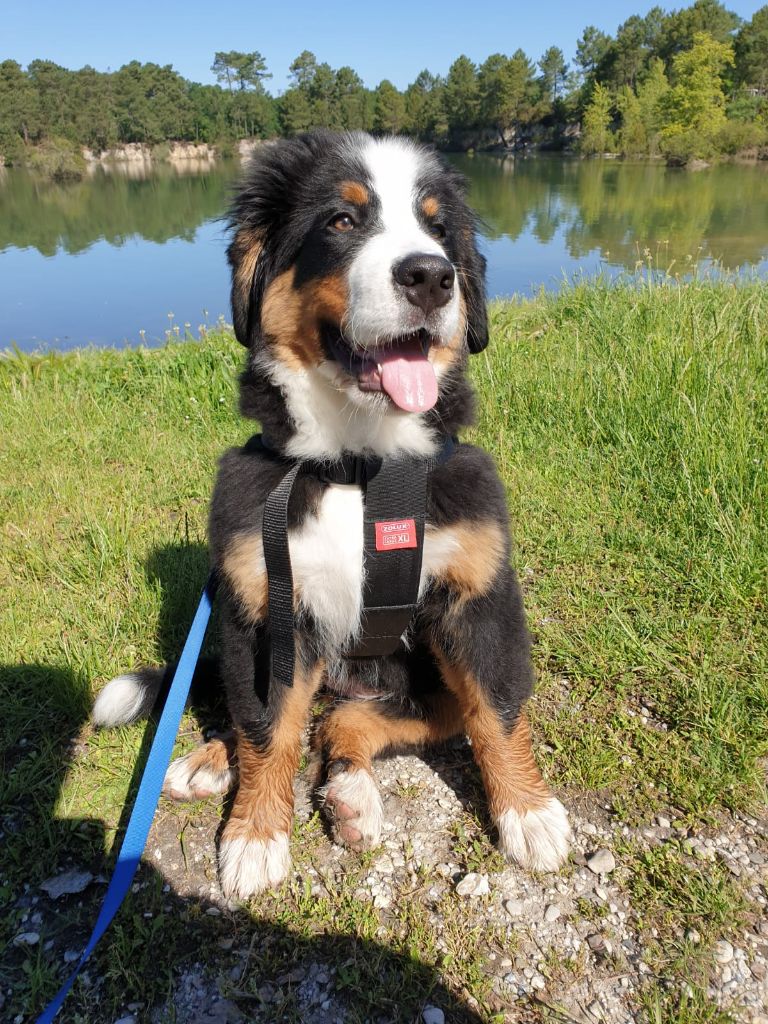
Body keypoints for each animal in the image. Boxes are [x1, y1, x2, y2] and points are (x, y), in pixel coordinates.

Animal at [93, 128, 573, 897]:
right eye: (343, 221)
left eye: (439, 229)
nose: (431, 277)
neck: (358, 466)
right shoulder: (265, 606)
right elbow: (266, 728)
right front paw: (255, 835)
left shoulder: (477, 596)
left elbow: (498, 710)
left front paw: (529, 813)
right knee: (269, 714)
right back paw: (210, 761)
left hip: (418, 680)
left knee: (349, 724)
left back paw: (351, 794)